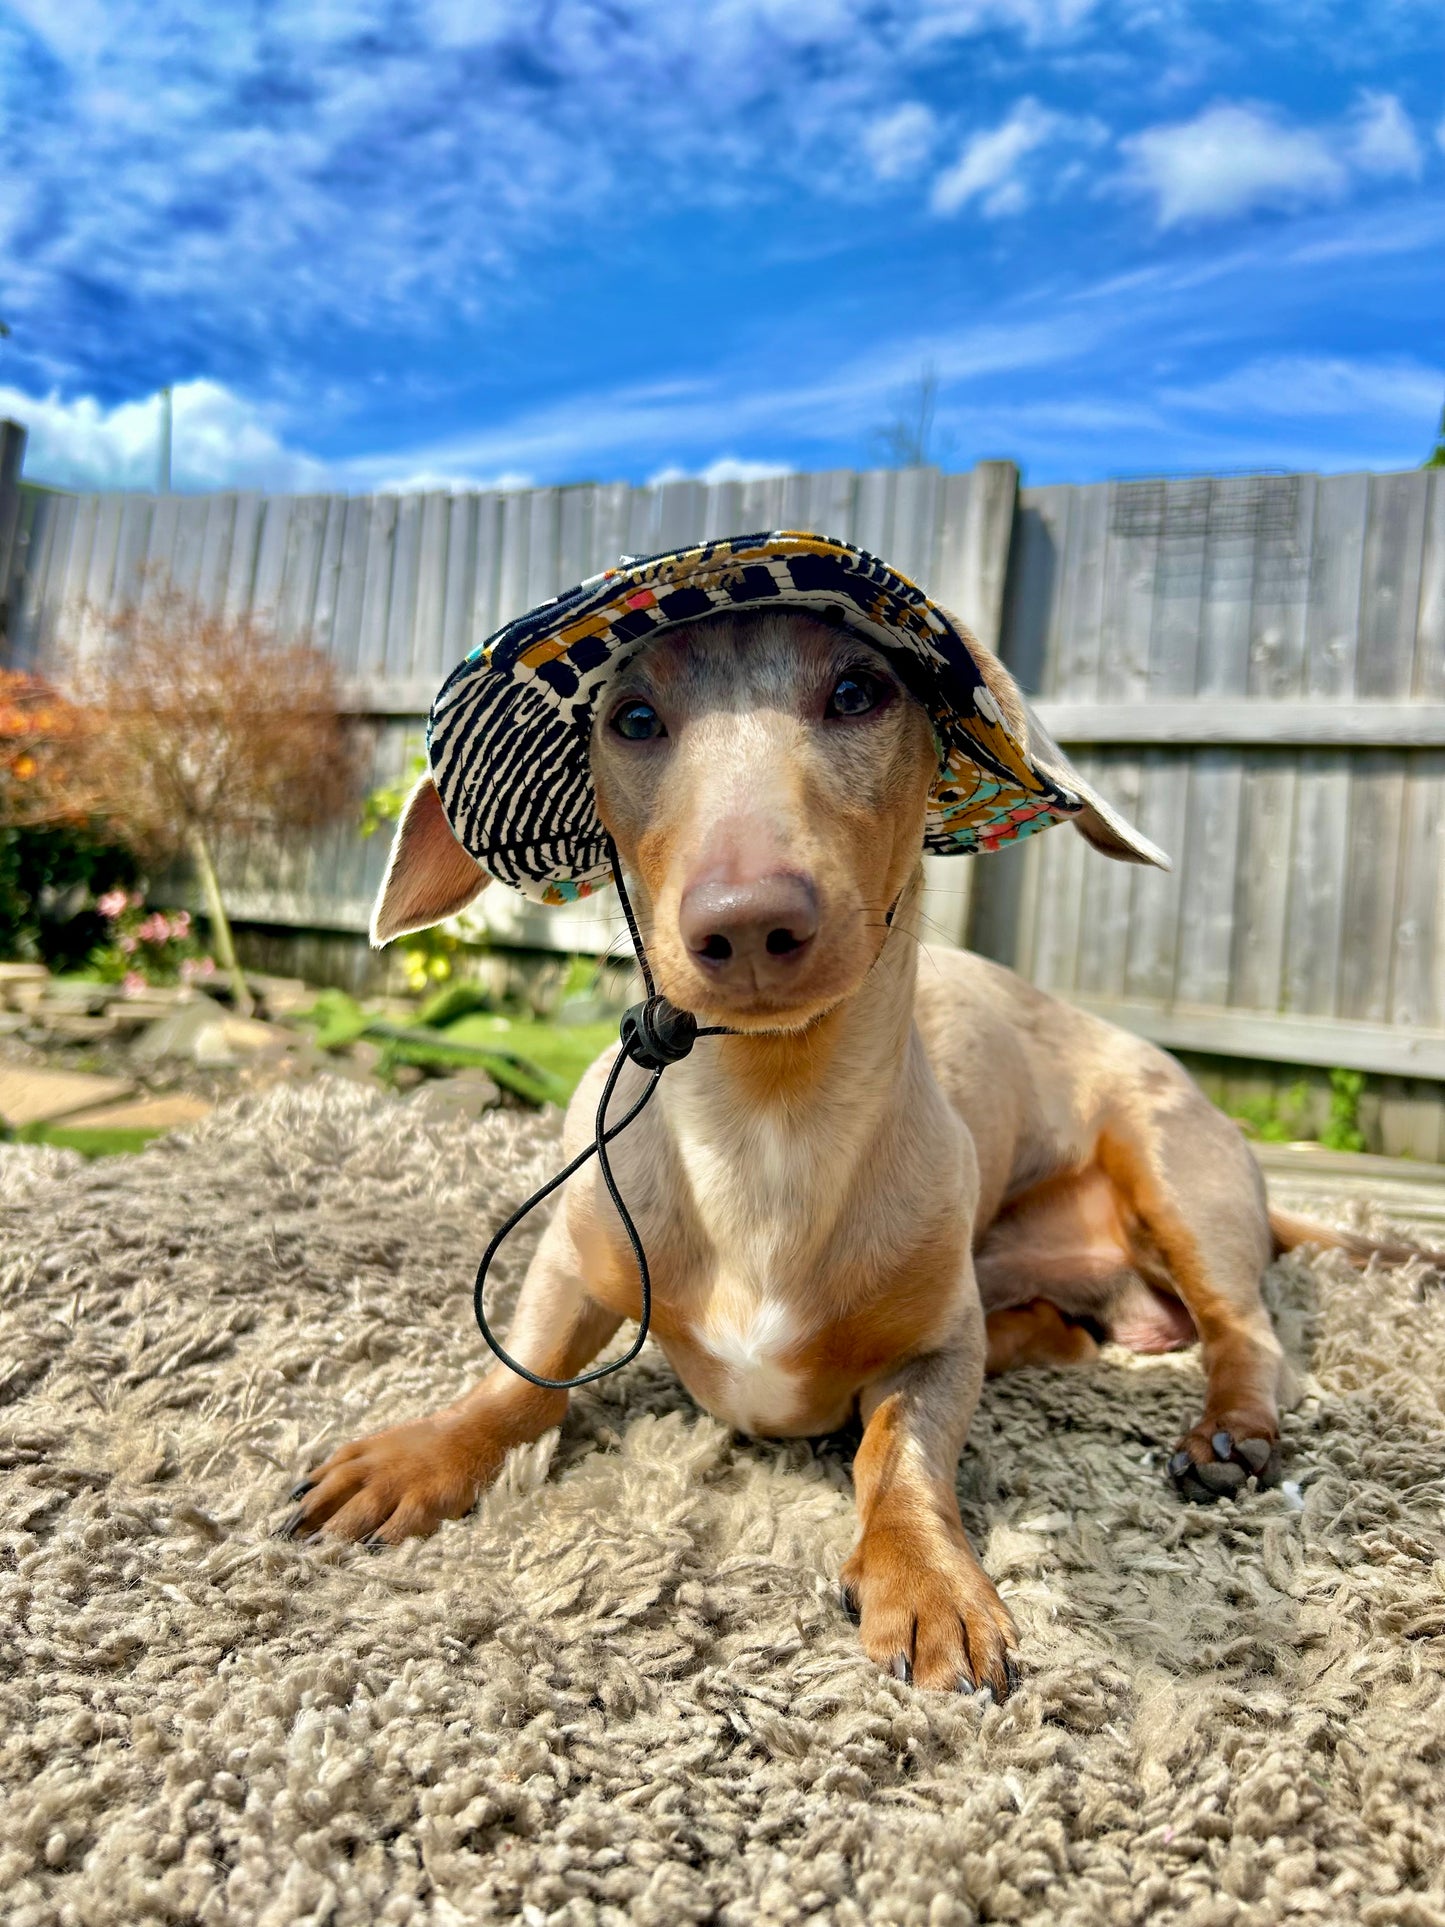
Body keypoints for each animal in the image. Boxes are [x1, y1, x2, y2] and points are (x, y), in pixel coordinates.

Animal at [285, 574, 1441, 1703]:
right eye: (632, 717)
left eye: (857, 692)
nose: (747, 922)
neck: (765, 1122)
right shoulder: (574, 1260)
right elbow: (518, 1381)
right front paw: (420, 1453)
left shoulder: (936, 1352)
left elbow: (900, 1455)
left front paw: (923, 1575)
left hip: (1167, 1165)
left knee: (1246, 1335)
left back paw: (1229, 1433)